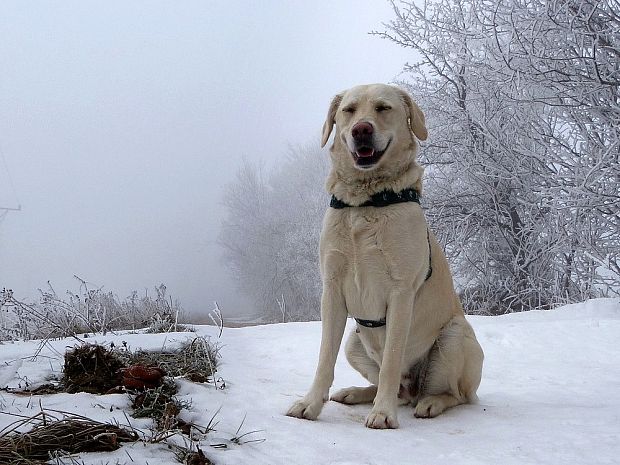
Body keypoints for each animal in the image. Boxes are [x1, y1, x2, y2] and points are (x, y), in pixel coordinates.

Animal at [286, 83, 484, 428]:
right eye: (349, 110)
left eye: (382, 108)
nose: (361, 130)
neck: (366, 201)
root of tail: (413, 389)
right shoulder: (332, 289)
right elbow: (325, 357)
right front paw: (310, 404)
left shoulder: (401, 292)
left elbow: (392, 359)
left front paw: (383, 413)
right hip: (354, 341)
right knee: (388, 385)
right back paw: (355, 393)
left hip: (455, 334)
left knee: (453, 394)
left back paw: (430, 402)